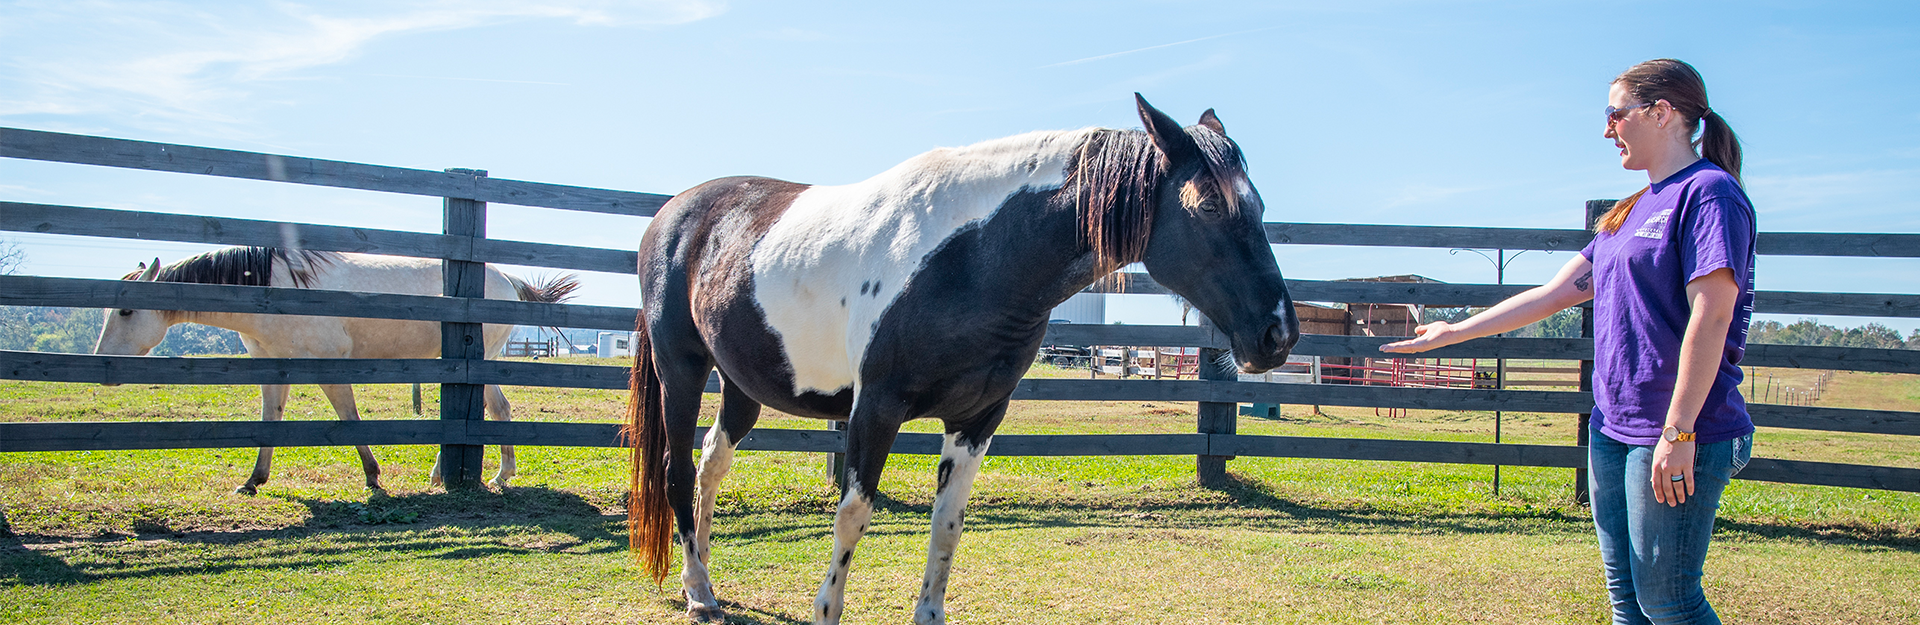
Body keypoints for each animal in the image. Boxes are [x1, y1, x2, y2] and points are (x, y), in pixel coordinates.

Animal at [95, 247, 576, 494]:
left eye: (125, 310)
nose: (105, 365)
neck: (273, 290)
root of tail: (507, 279)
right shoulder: (274, 368)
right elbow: (270, 421)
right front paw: (253, 480)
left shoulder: (329, 367)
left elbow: (350, 419)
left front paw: (373, 476)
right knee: (493, 411)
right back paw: (476, 474)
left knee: (490, 412)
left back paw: (474, 474)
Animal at [629, 95, 1305, 621]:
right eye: (1209, 204)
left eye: (1260, 206)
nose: (1279, 333)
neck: (974, 258)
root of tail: (673, 213)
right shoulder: (874, 409)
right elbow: (853, 515)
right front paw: (826, 609)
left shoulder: (978, 419)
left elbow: (948, 523)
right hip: (681, 369)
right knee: (677, 470)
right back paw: (699, 594)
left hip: (742, 385)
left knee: (712, 464)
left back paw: (702, 577)